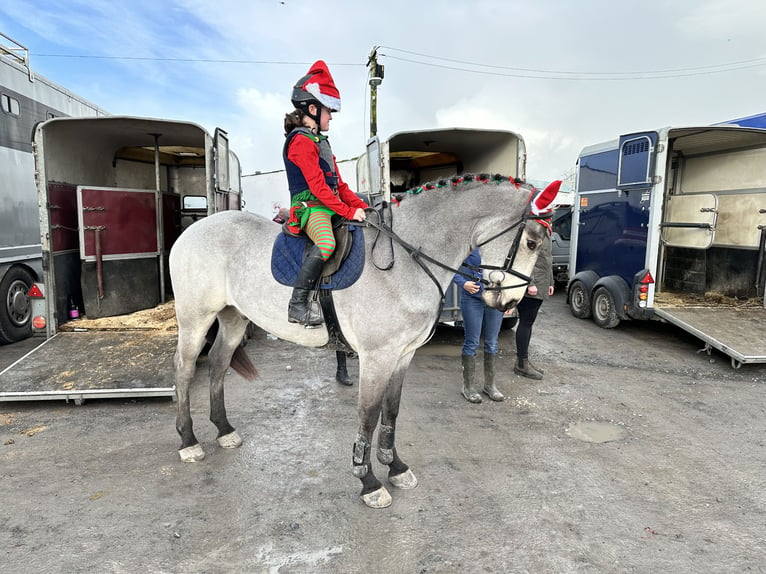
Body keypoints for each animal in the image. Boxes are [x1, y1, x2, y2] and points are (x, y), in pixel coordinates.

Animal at [170, 176, 552, 508]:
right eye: (532, 243)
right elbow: (368, 413)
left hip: (233, 316)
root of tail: (194, 230)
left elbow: (391, 410)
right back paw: (188, 441)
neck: (405, 262)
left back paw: (224, 430)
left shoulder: (402, 355)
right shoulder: (376, 356)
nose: (510, 303)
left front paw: (395, 466)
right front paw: (368, 481)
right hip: (195, 318)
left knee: (218, 363)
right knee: (185, 370)